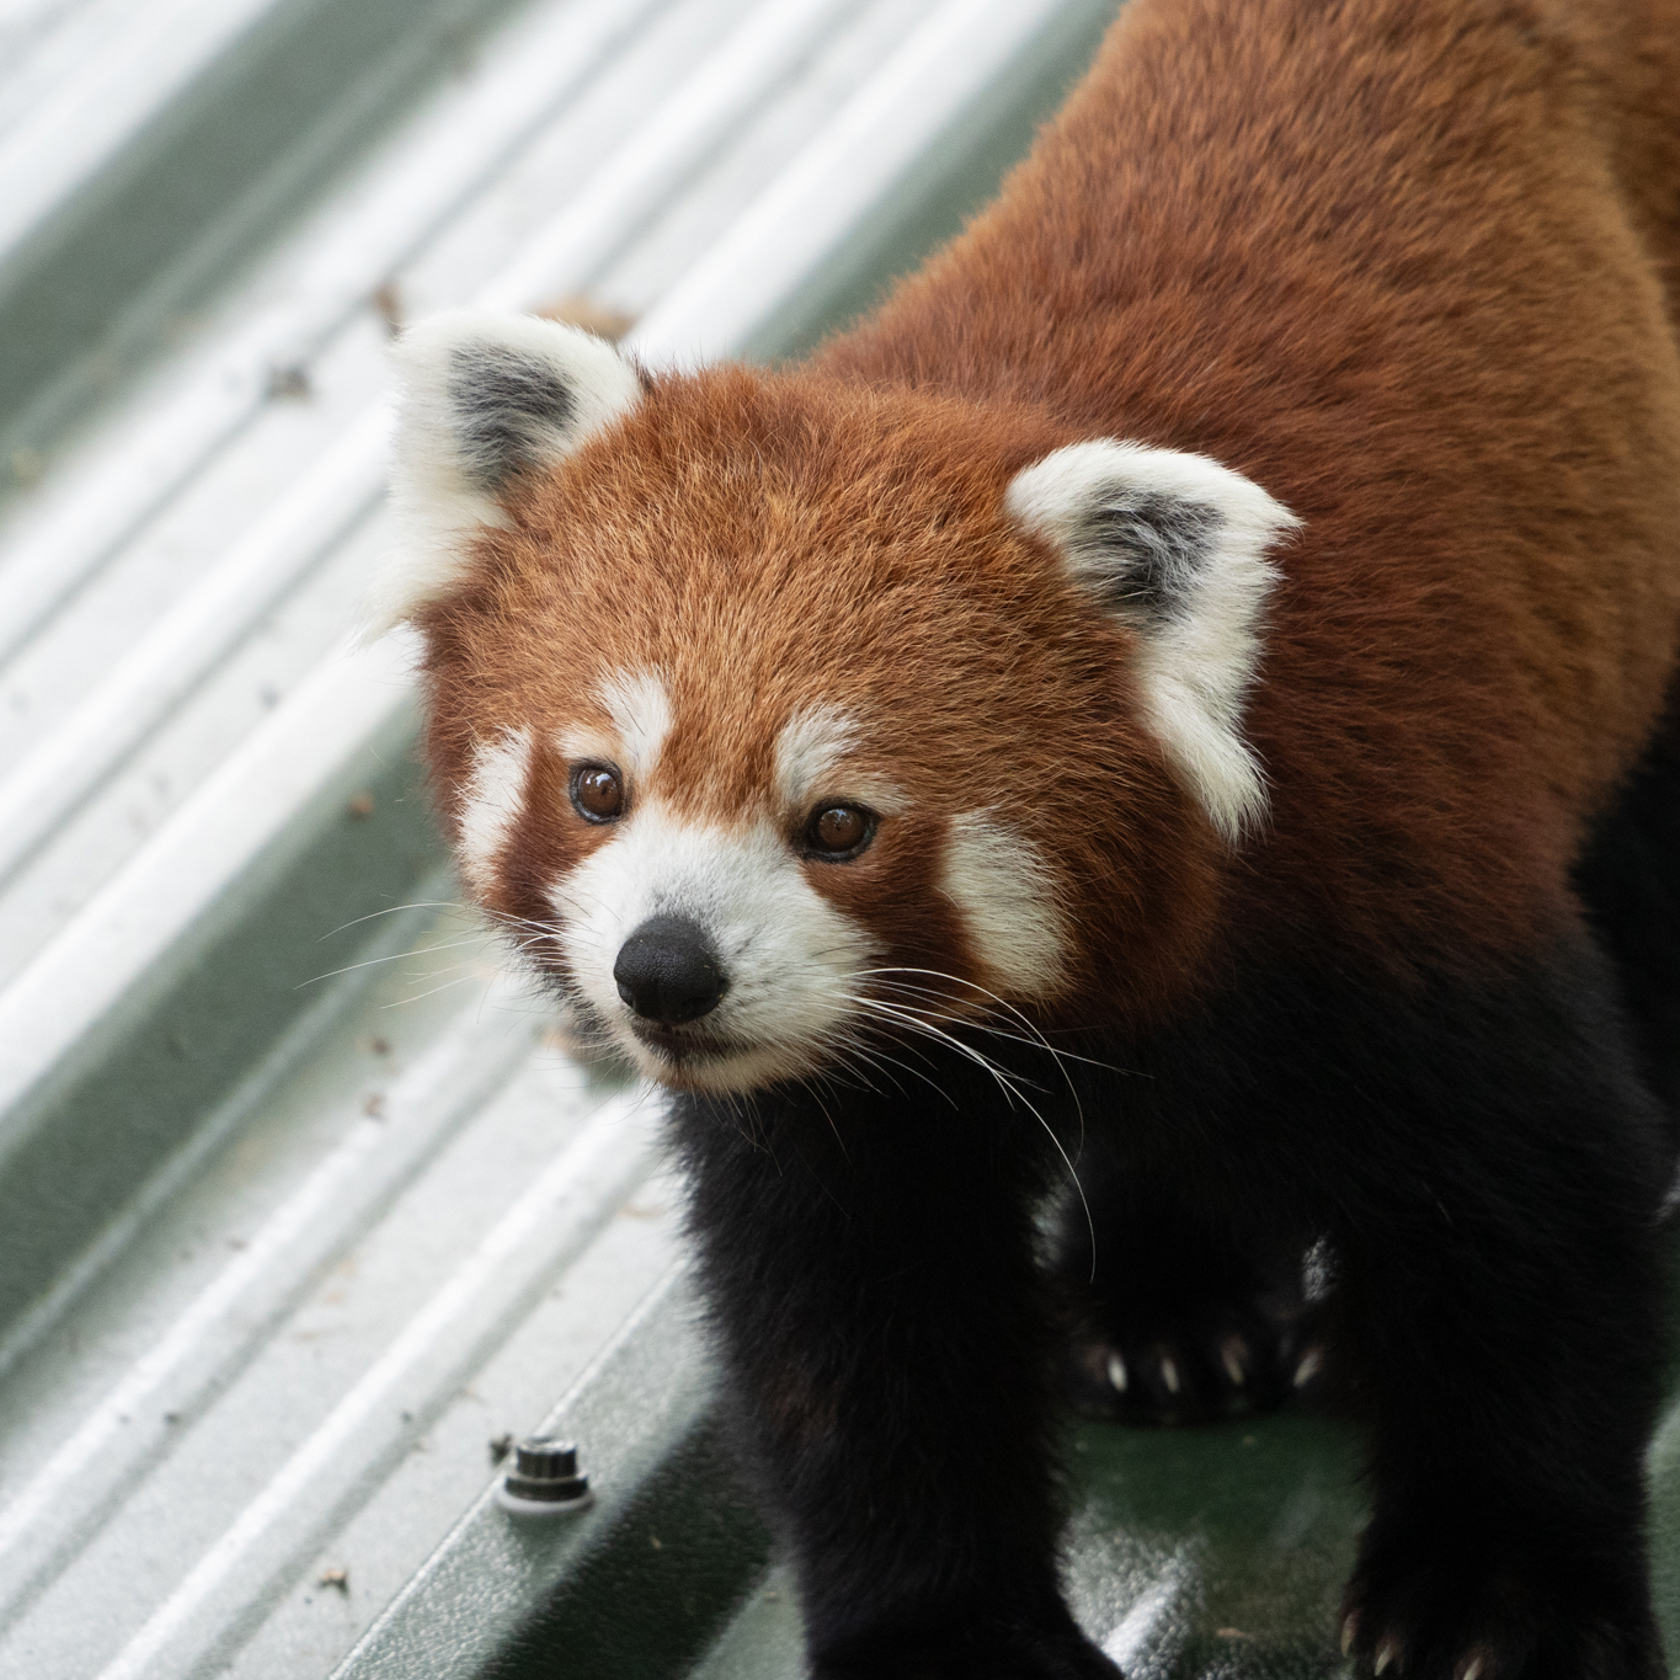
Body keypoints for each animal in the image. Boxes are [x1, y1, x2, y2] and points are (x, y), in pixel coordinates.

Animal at [367, 0, 1680, 1674]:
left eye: (838, 824)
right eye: (598, 787)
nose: (666, 971)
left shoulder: (1406, 874)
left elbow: (1536, 1233)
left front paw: (1499, 1591)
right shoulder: (840, 1101)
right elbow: (864, 1341)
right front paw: (944, 1629)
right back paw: (1169, 1304)